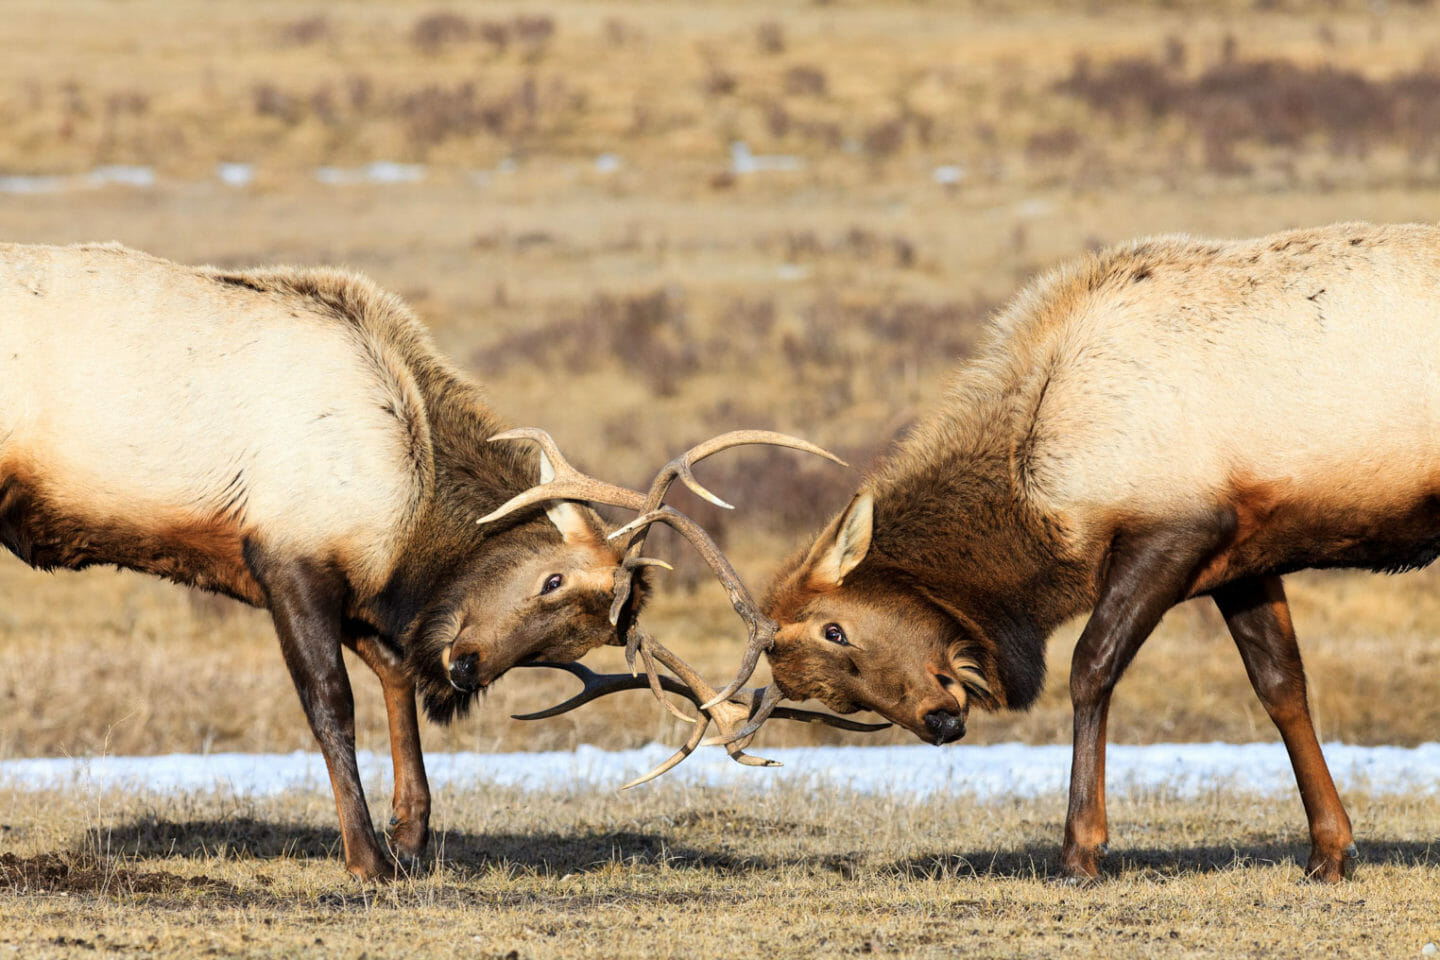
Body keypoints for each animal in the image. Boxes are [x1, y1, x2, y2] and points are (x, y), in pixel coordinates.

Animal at [0, 238, 835, 880]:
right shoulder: (287, 557)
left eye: (582, 637)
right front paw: (367, 856)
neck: (410, 500)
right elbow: (332, 703)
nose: (466, 667)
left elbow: (397, 676)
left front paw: (411, 838)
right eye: (551, 577)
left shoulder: (360, 594)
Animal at [550, 221, 1440, 880]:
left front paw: (1081, 849)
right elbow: (1282, 686)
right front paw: (1330, 850)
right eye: (830, 695)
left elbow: (1090, 666)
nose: (941, 721)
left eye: (837, 628)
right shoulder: (1246, 555)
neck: (1045, 488)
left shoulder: (1177, 526)